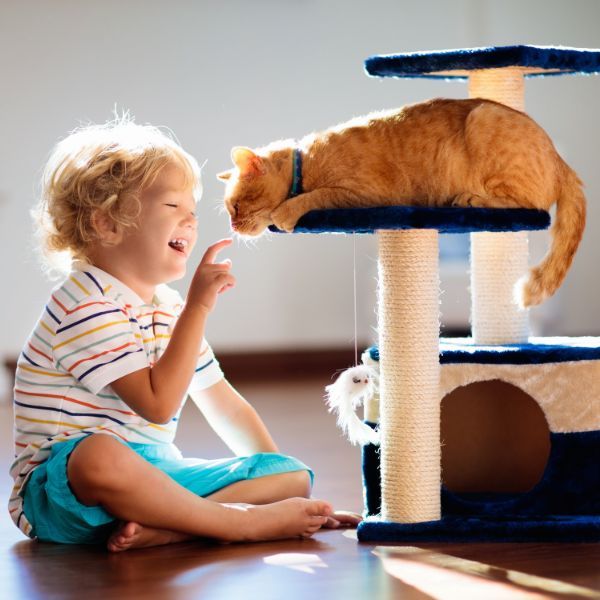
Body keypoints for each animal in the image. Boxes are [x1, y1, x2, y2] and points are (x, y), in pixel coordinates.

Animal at [218, 98, 584, 308]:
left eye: (235, 207)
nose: (233, 226)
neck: (305, 162)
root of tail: (560, 159)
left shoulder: (363, 193)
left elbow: (315, 196)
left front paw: (286, 212)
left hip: (485, 120)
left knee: (527, 206)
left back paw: (468, 198)